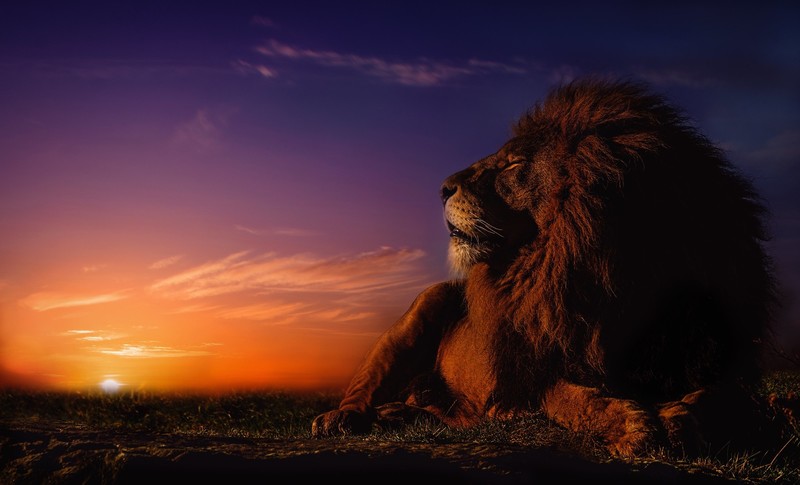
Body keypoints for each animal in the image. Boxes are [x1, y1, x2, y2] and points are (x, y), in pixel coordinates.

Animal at [311, 78, 776, 456]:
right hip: (421, 311)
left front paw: (679, 419)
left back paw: (399, 414)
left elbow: (722, 397)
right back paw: (343, 418)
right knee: (365, 388)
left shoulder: (713, 356)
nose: (442, 188)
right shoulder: (539, 372)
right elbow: (572, 398)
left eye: (513, 164)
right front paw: (632, 427)